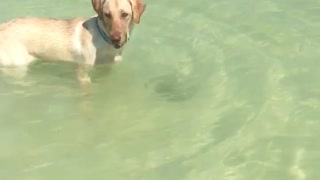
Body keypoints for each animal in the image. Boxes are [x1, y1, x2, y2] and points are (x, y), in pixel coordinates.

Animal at [0, 0, 146, 83]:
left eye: (125, 15)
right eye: (107, 14)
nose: (115, 38)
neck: (102, 36)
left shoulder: (106, 68)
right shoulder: (82, 74)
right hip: (18, 66)